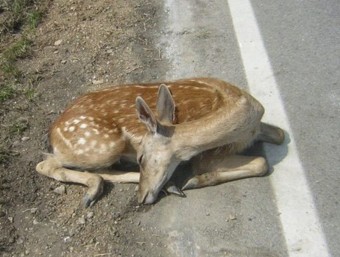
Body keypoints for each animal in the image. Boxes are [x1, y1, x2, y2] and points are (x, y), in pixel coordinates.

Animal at [35, 77, 284, 205]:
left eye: (141, 157)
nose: (139, 199)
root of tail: (52, 131)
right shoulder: (207, 156)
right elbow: (262, 162)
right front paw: (195, 180)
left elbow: (281, 135)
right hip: (103, 145)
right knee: (45, 164)